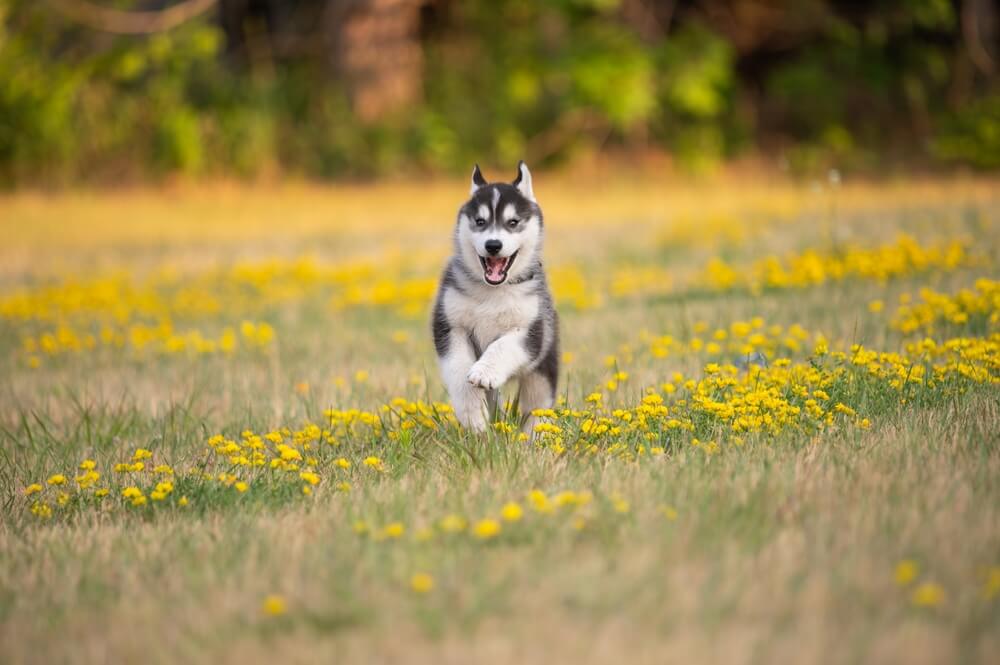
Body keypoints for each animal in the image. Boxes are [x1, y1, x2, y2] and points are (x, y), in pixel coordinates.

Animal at [428, 160, 560, 430]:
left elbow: (502, 346)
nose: (493, 245)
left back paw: (534, 436)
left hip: (544, 367)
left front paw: (485, 371)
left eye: (513, 222)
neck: (493, 291)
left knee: (536, 406)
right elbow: (459, 371)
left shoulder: (530, 331)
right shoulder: (451, 326)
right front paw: (473, 417)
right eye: (480, 221)